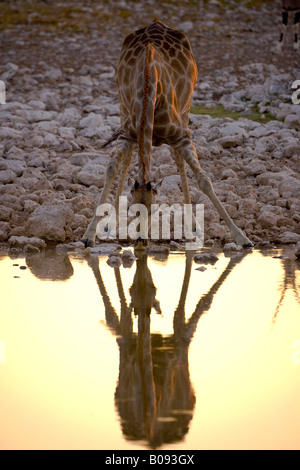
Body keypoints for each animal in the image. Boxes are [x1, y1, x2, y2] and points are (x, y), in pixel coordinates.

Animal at [81, 19, 252, 250]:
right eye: (132, 208)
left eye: (154, 209)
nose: (141, 242)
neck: (149, 88)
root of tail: (157, 22)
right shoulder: (127, 133)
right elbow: (111, 169)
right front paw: (90, 234)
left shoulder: (182, 135)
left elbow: (204, 180)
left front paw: (242, 238)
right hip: (123, 108)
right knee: (127, 161)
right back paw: (113, 223)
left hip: (186, 108)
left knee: (179, 162)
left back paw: (192, 225)